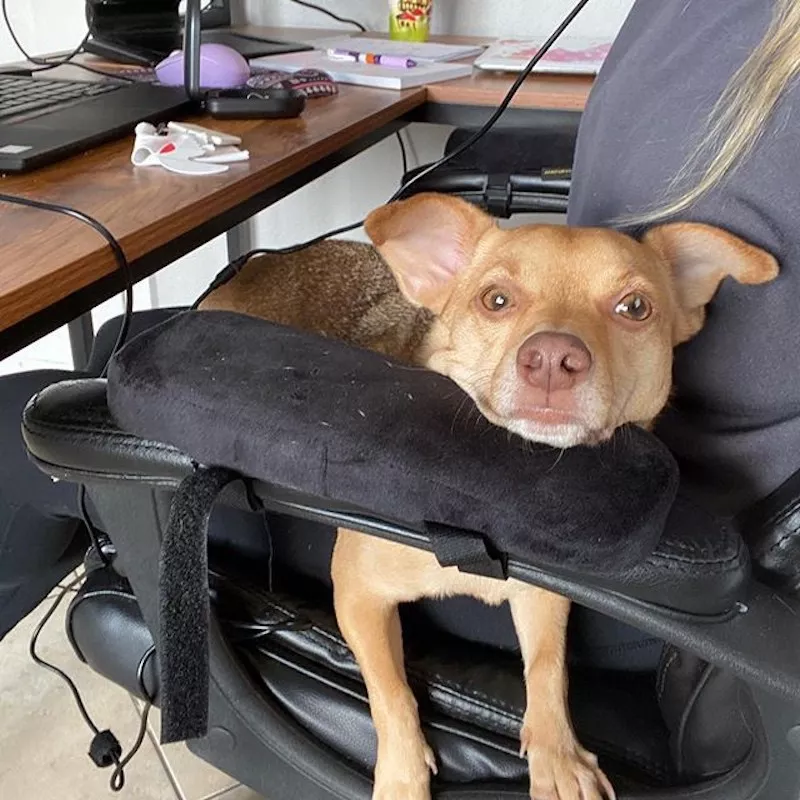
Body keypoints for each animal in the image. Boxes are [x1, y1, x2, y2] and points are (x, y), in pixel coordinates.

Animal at [202, 195, 780, 800]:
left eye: (635, 308)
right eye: (495, 300)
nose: (553, 358)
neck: (486, 499)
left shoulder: (543, 592)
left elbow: (549, 666)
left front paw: (557, 753)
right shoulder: (357, 593)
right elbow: (390, 689)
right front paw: (402, 774)